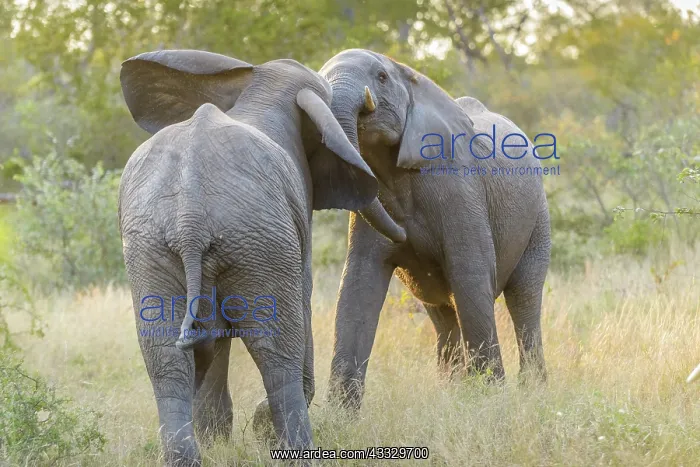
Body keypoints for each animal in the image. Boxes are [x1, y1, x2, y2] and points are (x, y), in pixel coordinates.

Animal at [117, 49, 401, 466]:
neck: (260, 91)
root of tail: (190, 218)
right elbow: (299, 306)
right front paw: (259, 427)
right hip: (257, 241)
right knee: (277, 353)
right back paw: (296, 448)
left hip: (152, 248)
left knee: (166, 360)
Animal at [319, 49, 552, 409]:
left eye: (381, 77)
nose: (404, 232)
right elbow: (358, 285)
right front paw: (338, 415)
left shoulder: (460, 190)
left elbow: (470, 274)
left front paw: (489, 401)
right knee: (441, 311)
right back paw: (452, 390)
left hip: (538, 216)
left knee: (523, 295)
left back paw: (532, 392)